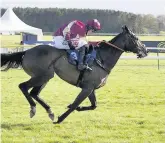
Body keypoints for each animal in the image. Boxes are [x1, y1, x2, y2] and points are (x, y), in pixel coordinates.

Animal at [0, 26, 148, 124]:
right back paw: (34, 109)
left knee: (34, 93)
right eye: (136, 38)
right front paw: (61, 118)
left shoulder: (91, 88)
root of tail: (26, 52)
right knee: (23, 86)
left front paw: (73, 108)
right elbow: (76, 104)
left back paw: (50, 111)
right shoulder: (87, 88)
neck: (102, 59)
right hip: (43, 76)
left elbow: (93, 105)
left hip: (45, 77)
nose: (146, 50)